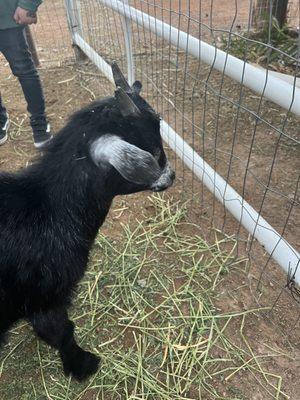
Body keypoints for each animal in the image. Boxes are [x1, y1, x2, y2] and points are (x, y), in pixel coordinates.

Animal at [0, 63, 175, 382]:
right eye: (155, 152)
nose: (172, 176)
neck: (45, 209)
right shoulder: (46, 297)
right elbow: (60, 331)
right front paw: (83, 365)